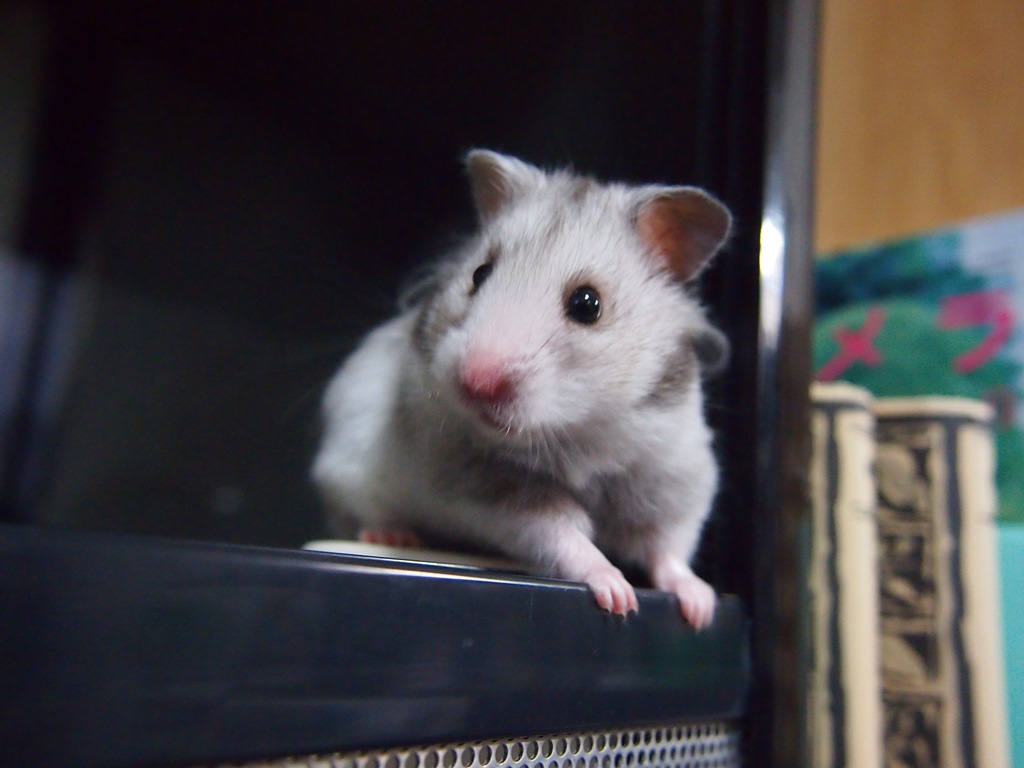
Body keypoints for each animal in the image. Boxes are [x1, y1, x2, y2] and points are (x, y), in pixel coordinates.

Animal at [313, 150, 731, 628]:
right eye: (480, 273)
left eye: (587, 303)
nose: (475, 382)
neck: (582, 432)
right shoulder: (497, 492)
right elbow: (564, 538)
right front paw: (619, 597)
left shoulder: (674, 479)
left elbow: (669, 548)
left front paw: (700, 610)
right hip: (345, 467)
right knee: (359, 515)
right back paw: (394, 534)